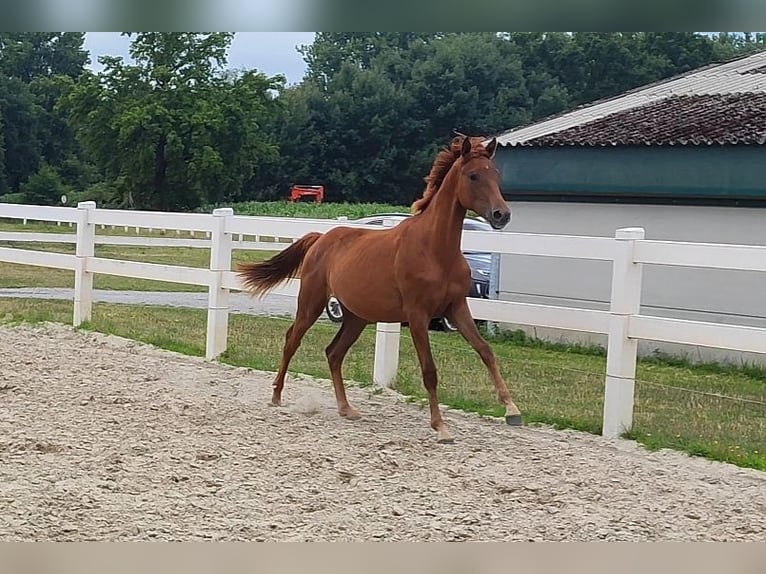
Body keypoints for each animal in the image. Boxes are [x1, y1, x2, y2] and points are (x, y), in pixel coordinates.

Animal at [236, 134, 522, 443]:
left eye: (496, 175)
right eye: (473, 175)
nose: (502, 215)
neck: (435, 251)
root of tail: (321, 237)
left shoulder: (456, 308)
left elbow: (485, 351)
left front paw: (512, 410)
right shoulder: (418, 315)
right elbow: (429, 370)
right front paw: (440, 426)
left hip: (356, 317)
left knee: (334, 353)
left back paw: (346, 408)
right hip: (311, 303)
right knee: (292, 340)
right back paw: (276, 395)